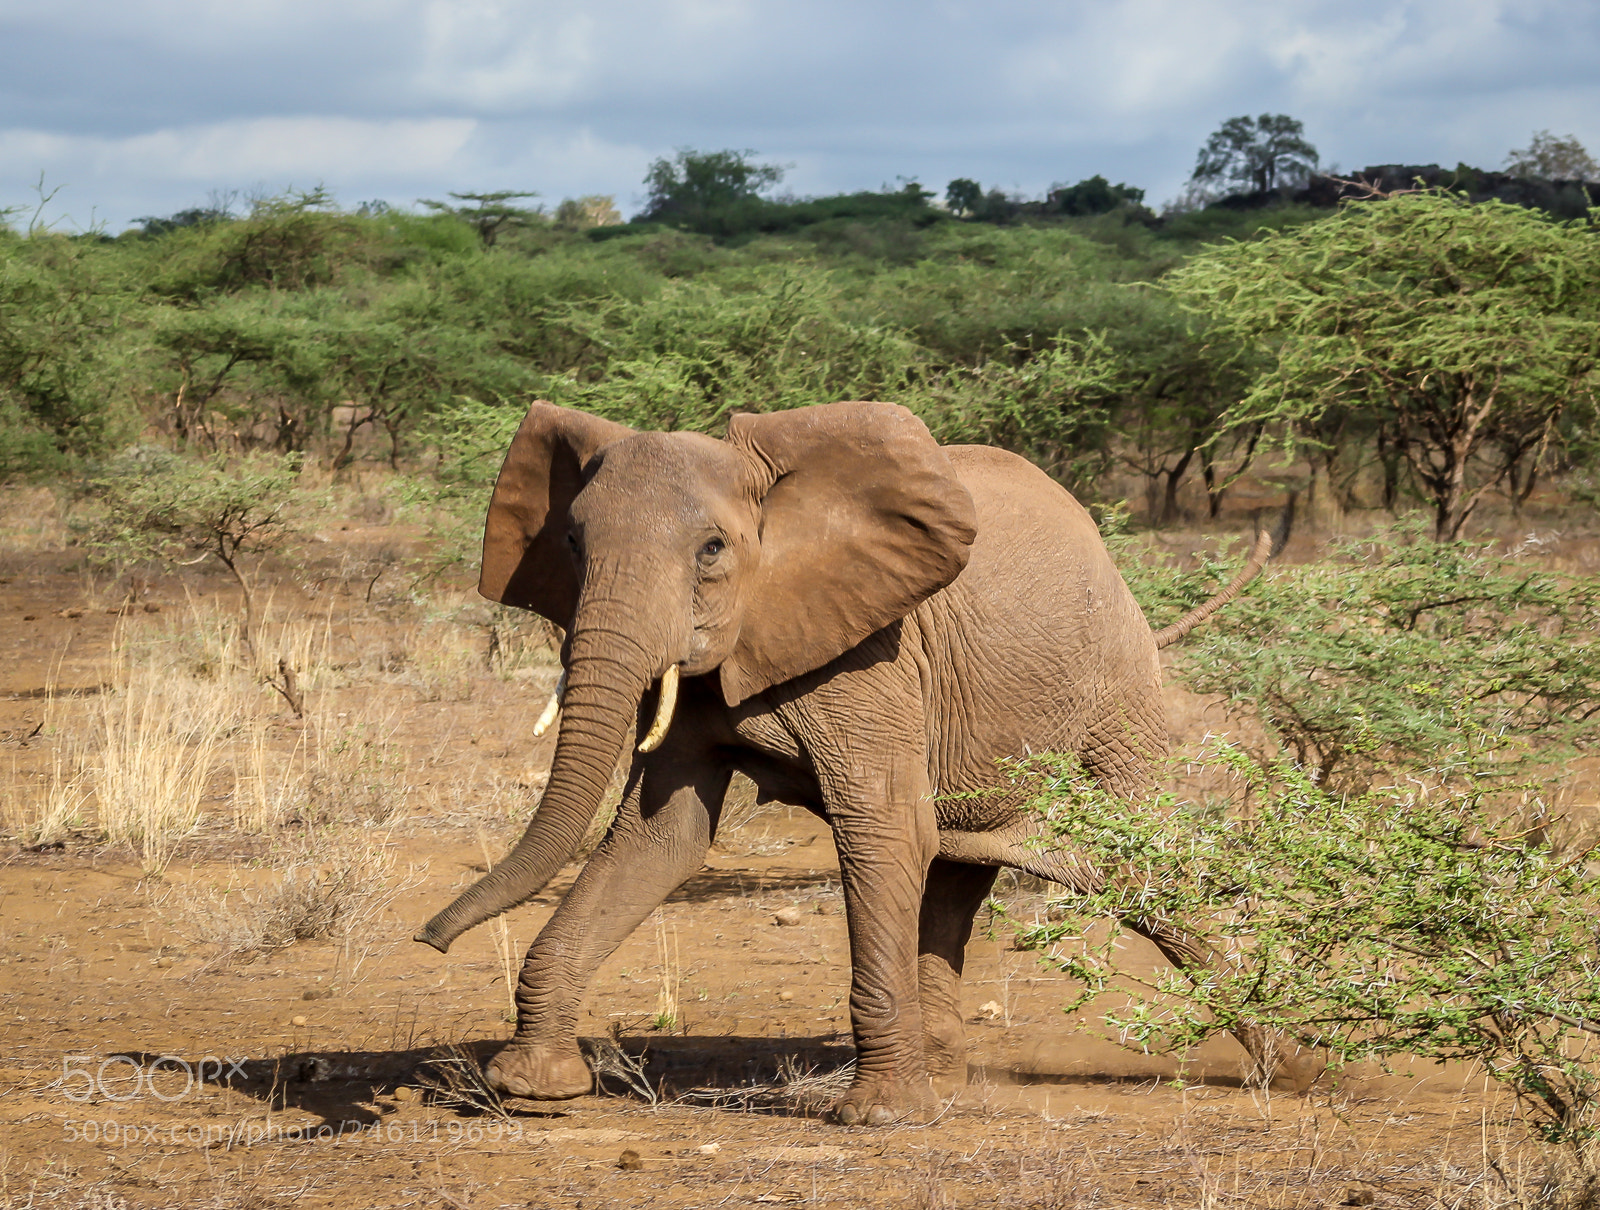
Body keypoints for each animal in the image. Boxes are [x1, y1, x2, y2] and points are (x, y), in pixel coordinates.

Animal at [415, 399, 1281, 1125]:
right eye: (570, 543)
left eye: (712, 549)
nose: (429, 940)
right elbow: (658, 842)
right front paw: (532, 1091)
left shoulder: (874, 655)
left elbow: (882, 830)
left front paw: (881, 1118)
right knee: (958, 876)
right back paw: (950, 1078)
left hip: (1117, 685)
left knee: (1149, 863)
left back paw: (1298, 1067)